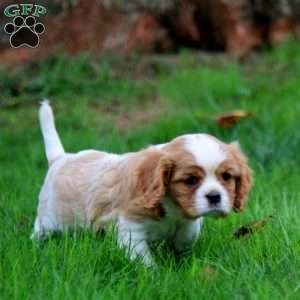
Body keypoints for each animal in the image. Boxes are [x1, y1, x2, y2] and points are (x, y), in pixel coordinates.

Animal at [31, 101, 252, 264]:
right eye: (191, 180)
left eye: (227, 177)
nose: (214, 196)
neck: (173, 208)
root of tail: (61, 158)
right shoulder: (131, 229)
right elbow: (142, 259)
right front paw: (154, 274)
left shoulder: (186, 223)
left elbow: (187, 236)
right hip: (48, 219)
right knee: (39, 231)